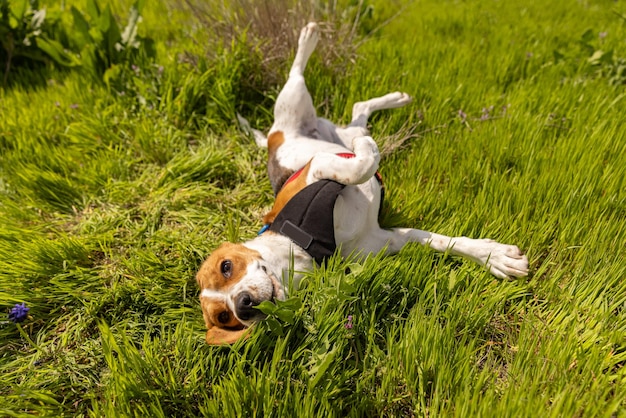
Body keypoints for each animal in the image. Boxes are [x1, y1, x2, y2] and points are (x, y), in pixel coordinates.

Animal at [195, 21, 528, 344]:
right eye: (225, 317)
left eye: (226, 267)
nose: (243, 305)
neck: (304, 245)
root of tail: (272, 140)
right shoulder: (392, 239)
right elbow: (442, 242)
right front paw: (495, 257)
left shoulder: (317, 168)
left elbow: (358, 167)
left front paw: (493, 256)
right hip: (336, 129)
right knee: (358, 112)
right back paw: (391, 101)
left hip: (295, 105)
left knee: (302, 77)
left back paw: (311, 40)